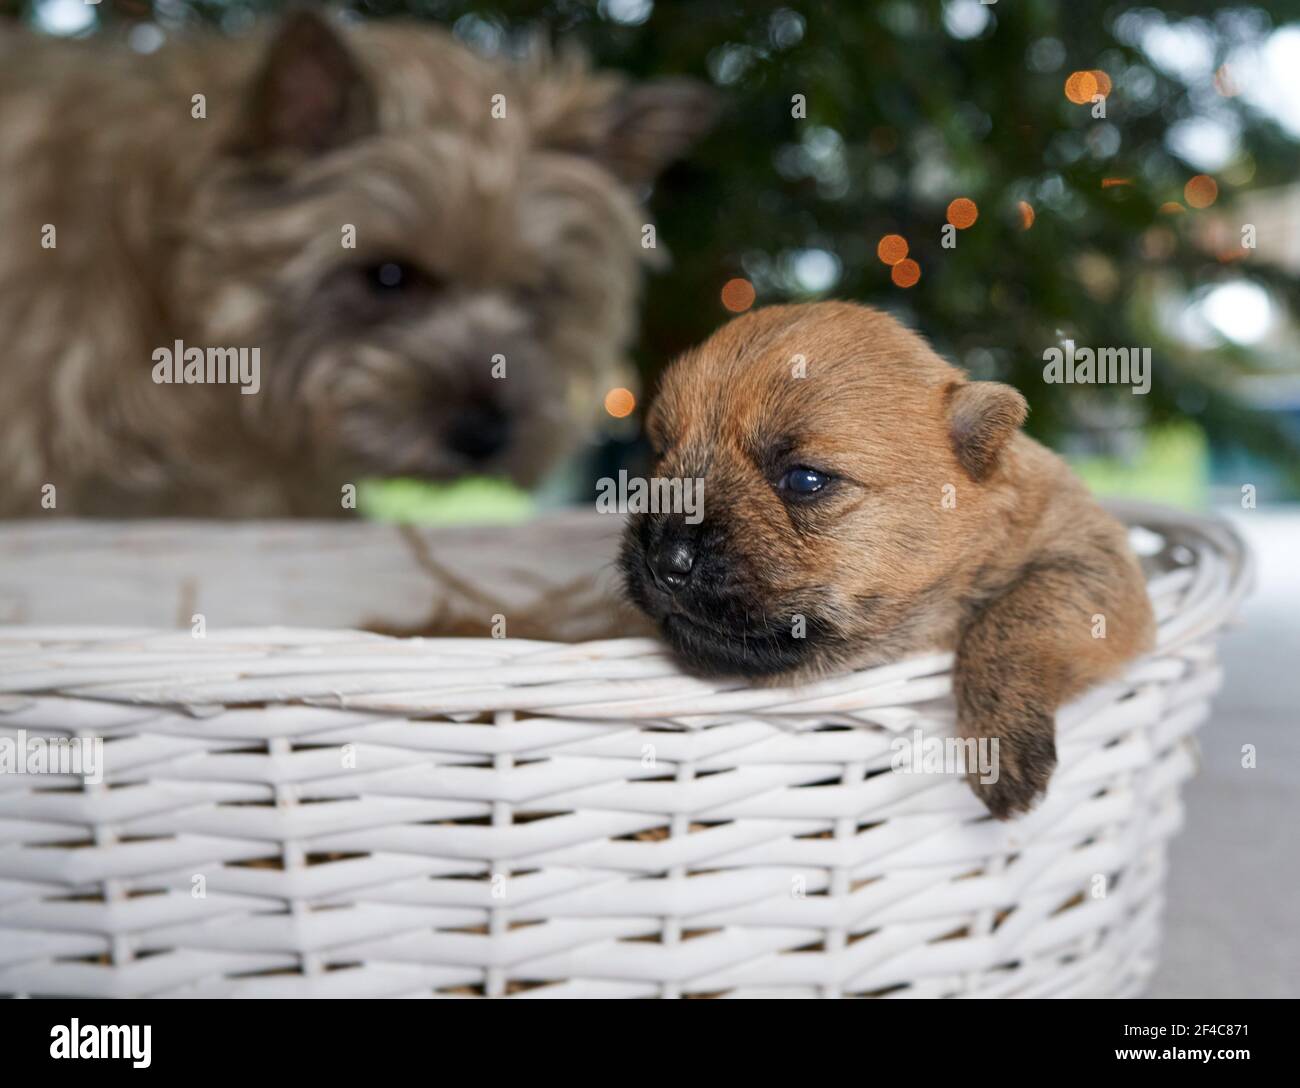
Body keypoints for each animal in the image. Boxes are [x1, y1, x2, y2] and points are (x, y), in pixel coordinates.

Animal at [621, 301, 1159, 821]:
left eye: (806, 480)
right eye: (661, 452)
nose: (664, 559)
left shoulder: (1093, 556)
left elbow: (1015, 616)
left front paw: (1001, 746)